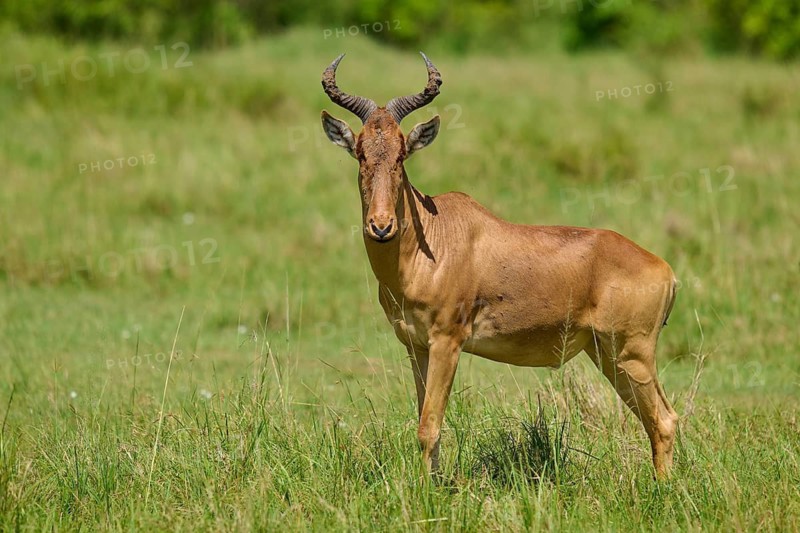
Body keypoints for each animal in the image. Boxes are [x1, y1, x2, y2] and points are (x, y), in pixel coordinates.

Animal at [320, 53, 680, 478]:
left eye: (401, 154)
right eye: (360, 152)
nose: (381, 226)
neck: (434, 239)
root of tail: (665, 269)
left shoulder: (448, 341)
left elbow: (429, 426)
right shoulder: (417, 346)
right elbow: (424, 422)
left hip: (631, 353)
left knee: (664, 420)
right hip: (608, 355)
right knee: (655, 419)